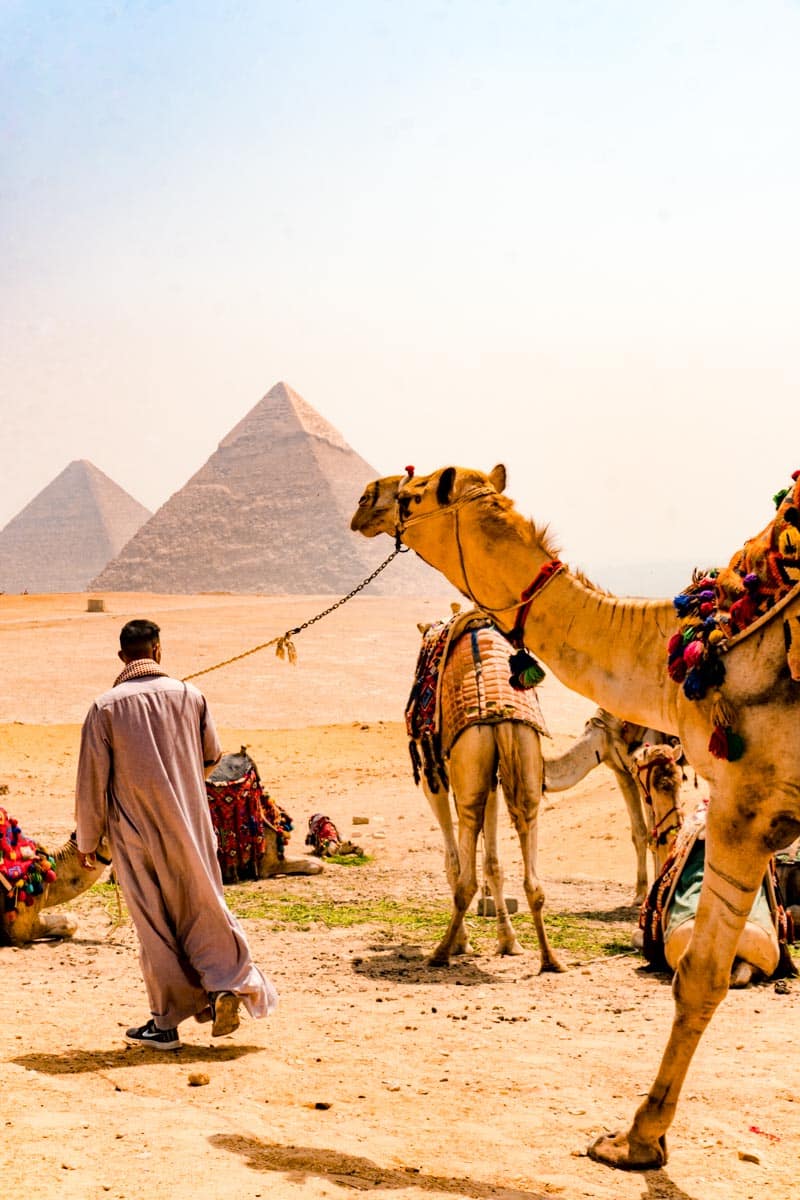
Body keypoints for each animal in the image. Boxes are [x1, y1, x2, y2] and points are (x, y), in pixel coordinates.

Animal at [351, 462, 800, 1170]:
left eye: (415, 493)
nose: (366, 499)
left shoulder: (742, 804)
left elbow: (698, 973)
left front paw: (635, 1139)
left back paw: (456, 949)